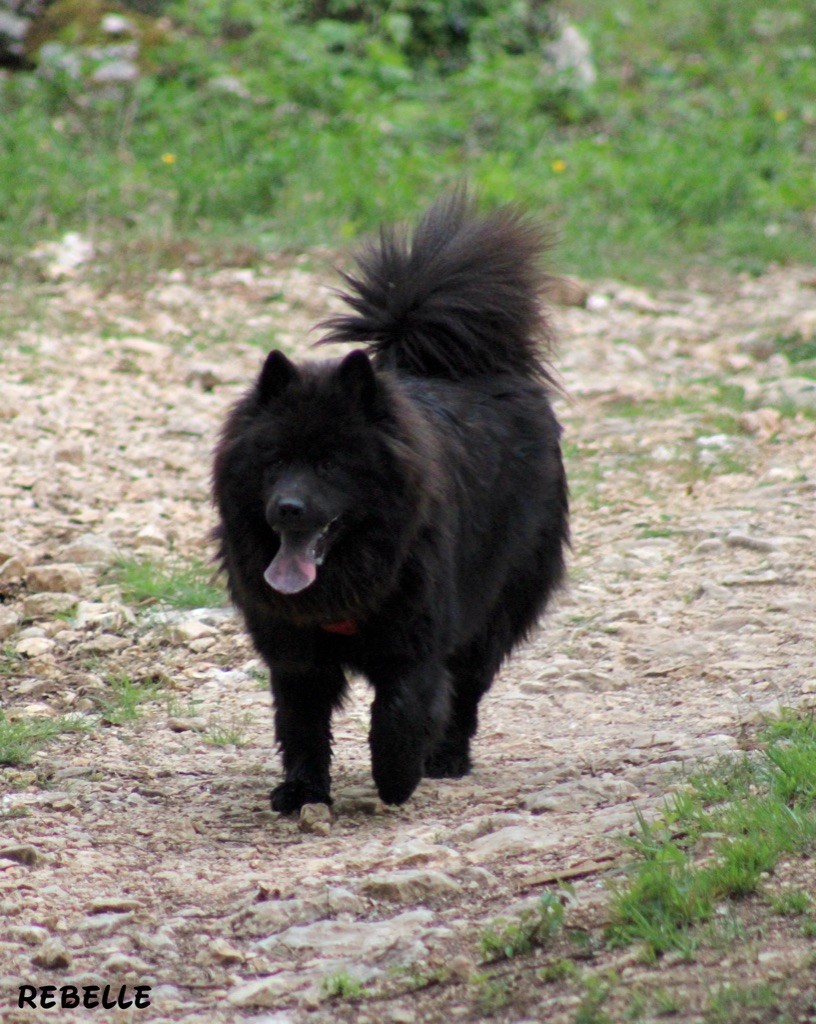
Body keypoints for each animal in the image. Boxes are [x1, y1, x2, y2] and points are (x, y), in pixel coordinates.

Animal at [209, 193, 565, 815]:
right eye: (274, 461)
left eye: (331, 464)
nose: (287, 508)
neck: (347, 579)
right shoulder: (296, 653)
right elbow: (301, 724)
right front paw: (303, 791)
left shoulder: (415, 642)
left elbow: (400, 712)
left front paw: (397, 776)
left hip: (495, 606)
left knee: (468, 689)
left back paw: (447, 759)